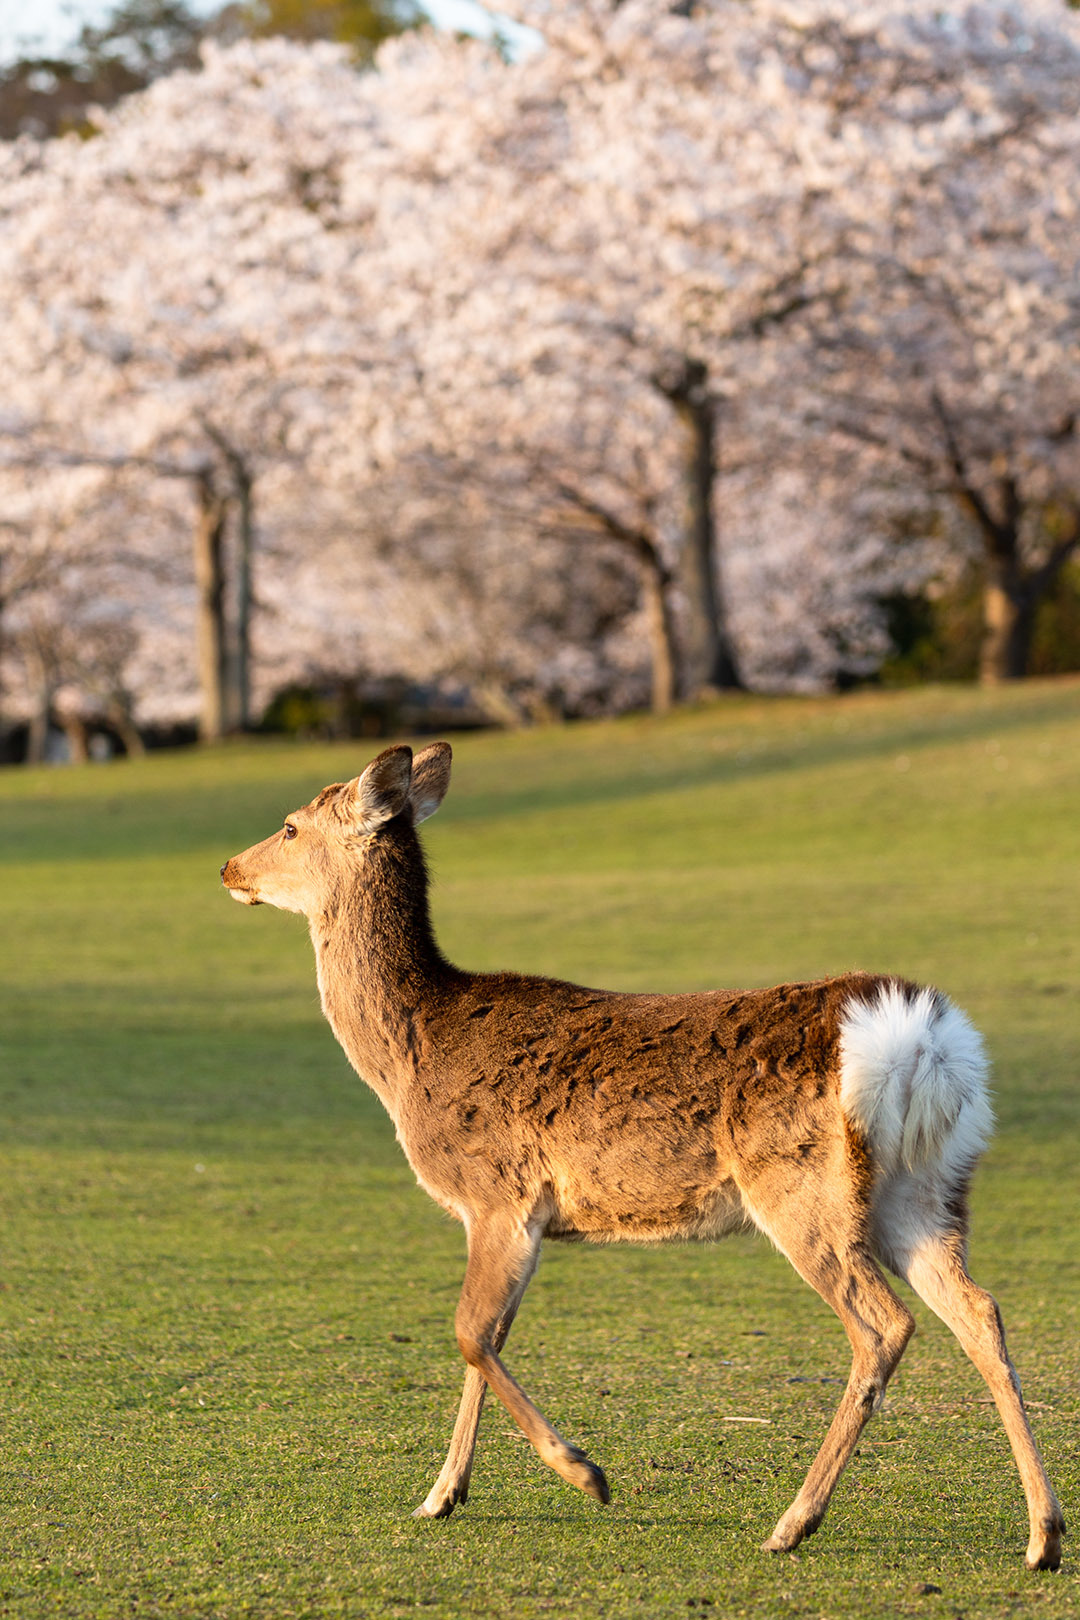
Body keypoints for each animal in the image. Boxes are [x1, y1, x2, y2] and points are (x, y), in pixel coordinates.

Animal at [220, 741, 1065, 1569]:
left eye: (291, 826)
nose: (229, 868)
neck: (411, 1059)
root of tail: (923, 1041)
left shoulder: (499, 1193)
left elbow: (467, 1331)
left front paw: (583, 1473)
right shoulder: (514, 1217)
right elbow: (486, 1337)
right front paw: (442, 1494)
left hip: (805, 1189)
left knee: (884, 1326)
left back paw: (792, 1522)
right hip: (926, 1188)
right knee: (980, 1312)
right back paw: (1042, 1536)